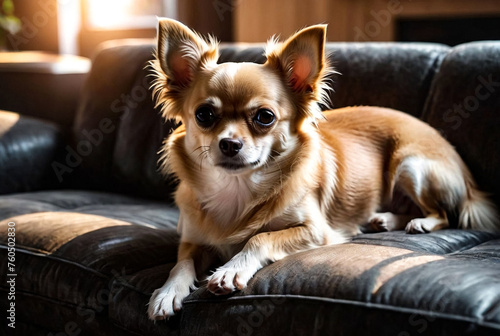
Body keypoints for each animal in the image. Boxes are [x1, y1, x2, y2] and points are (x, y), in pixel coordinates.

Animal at [146, 19, 498, 320]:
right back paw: (383, 219)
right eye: (204, 115)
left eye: (264, 117)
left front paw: (231, 269)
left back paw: (420, 223)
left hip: (411, 164)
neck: (238, 188)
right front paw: (166, 292)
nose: (229, 144)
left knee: (445, 214)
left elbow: (259, 238)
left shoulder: (317, 230)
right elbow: (180, 263)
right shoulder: (193, 239)